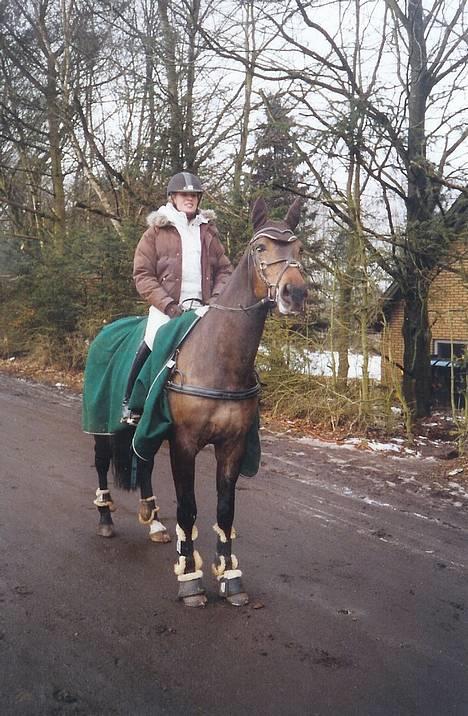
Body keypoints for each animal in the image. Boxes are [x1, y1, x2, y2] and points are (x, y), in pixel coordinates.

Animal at [86, 199, 308, 608]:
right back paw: (106, 519)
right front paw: (190, 578)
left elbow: (225, 509)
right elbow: (188, 509)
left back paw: (155, 521)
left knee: (144, 465)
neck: (218, 361)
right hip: (103, 427)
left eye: (298, 249)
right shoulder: (185, 445)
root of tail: (107, 330)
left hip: (145, 431)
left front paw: (231, 577)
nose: (295, 294)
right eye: (260, 248)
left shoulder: (232, 446)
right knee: (101, 464)